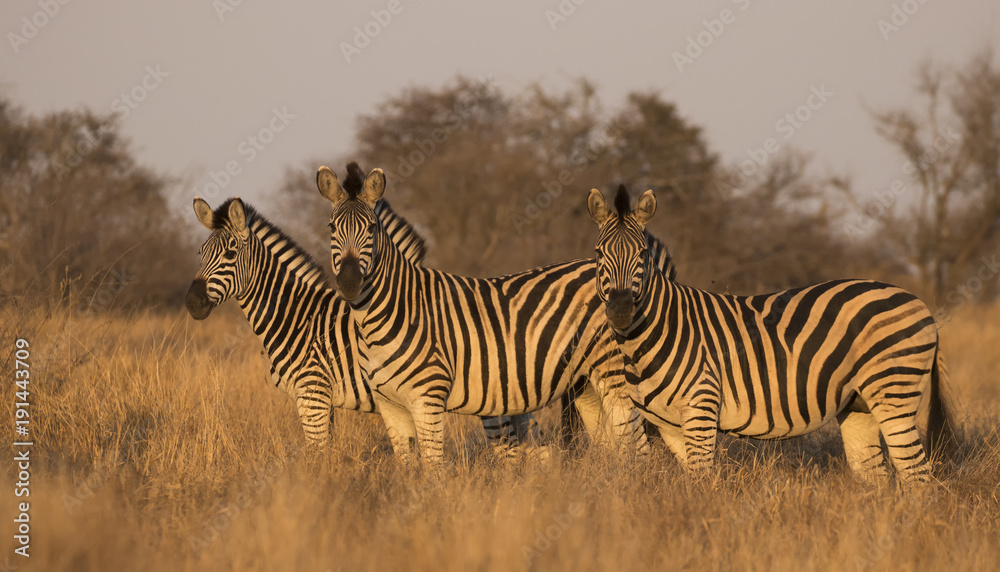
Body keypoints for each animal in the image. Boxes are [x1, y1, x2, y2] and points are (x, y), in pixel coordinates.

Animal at [184, 196, 545, 454]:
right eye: (200, 252)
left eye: (230, 254)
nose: (192, 303)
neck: (297, 316)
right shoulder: (322, 398)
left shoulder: (312, 393)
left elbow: (316, 455)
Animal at [315, 162, 652, 464]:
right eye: (331, 228)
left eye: (371, 228)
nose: (349, 283)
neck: (391, 312)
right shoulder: (390, 405)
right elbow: (407, 468)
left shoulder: (428, 398)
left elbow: (433, 468)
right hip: (585, 382)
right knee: (611, 445)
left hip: (614, 374)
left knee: (636, 443)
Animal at [586, 184, 955, 484]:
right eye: (599, 253)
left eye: (642, 255)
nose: (620, 308)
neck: (654, 334)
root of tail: (918, 302)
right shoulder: (669, 425)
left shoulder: (702, 409)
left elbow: (703, 485)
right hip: (859, 405)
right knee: (875, 477)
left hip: (894, 394)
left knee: (917, 476)